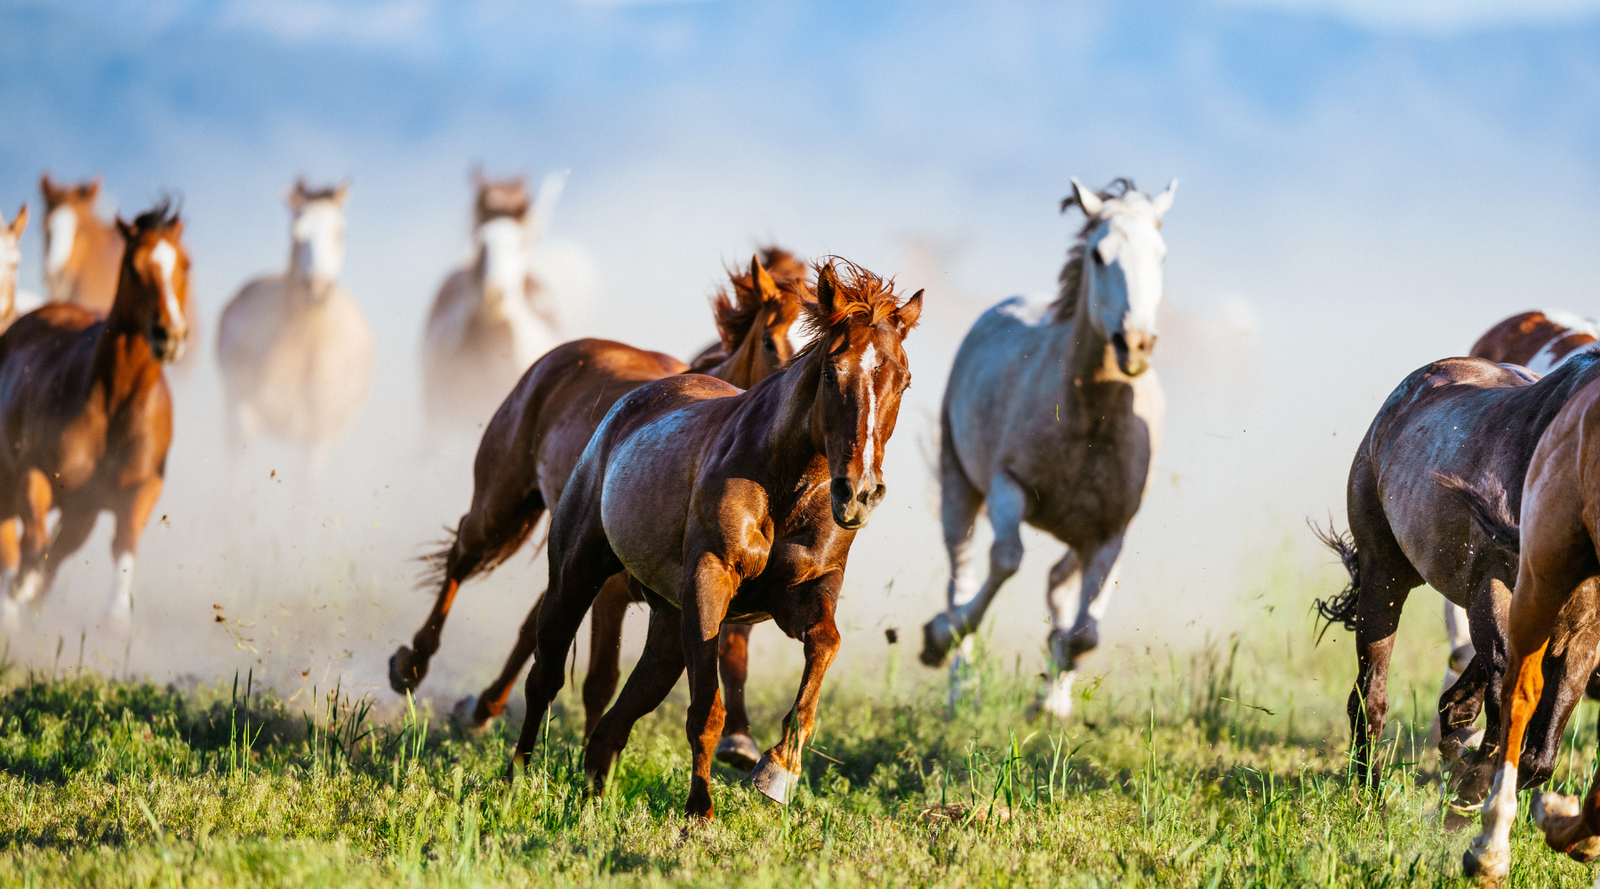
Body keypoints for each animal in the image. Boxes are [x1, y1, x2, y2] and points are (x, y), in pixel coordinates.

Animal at [0, 203, 188, 629]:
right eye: (134, 267)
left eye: (185, 264)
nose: (169, 333)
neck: (113, 401)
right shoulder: (33, 474)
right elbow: (32, 546)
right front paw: (19, 595)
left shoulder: (137, 488)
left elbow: (124, 543)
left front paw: (116, 616)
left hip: (80, 513)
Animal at [390, 253, 805, 754]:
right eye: (769, 340)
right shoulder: (612, 589)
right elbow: (601, 679)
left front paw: (738, 741)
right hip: (502, 506)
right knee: (461, 559)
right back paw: (411, 666)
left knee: (530, 623)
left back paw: (482, 707)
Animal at [511, 259, 920, 819]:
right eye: (831, 372)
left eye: (903, 380)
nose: (859, 493)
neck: (784, 484)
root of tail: (628, 405)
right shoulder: (709, 584)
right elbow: (707, 710)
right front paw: (700, 809)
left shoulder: (805, 592)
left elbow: (825, 645)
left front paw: (778, 770)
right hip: (576, 575)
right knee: (546, 675)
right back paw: (516, 778)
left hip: (667, 622)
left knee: (621, 713)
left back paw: (593, 791)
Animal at [917, 177, 1176, 720]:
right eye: (1099, 253)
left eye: (1161, 255)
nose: (1136, 343)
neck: (1088, 419)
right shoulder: (1007, 485)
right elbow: (1006, 560)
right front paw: (937, 638)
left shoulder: (1111, 531)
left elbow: (1085, 633)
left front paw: (1050, 699)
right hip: (958, 481)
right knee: (961, 574)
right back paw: (959, 685)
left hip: (1077, 534)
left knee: (1059, 584)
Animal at [1316, 352, 1600, 810]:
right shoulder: (1494, 590)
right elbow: (1509, 702)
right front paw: (1469, 786)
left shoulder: (1584, 632)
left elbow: (1538, 755)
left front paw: (1469, 779)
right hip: (1384, 578)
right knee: (1370, 697)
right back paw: (1372, 799)